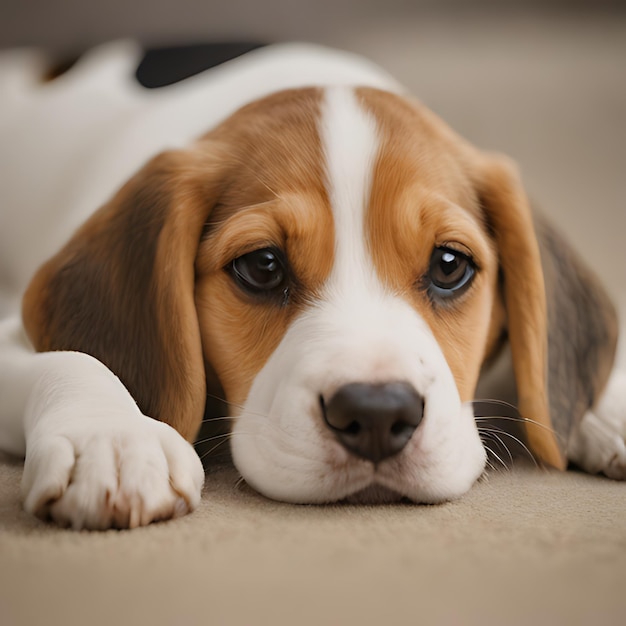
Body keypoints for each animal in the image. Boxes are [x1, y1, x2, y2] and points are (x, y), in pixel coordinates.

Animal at [0, 41, 620, 528]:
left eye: (449, 265)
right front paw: (110, 438)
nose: (377, 415)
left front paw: (610, 402)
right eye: (262, 266)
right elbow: (76, 358)